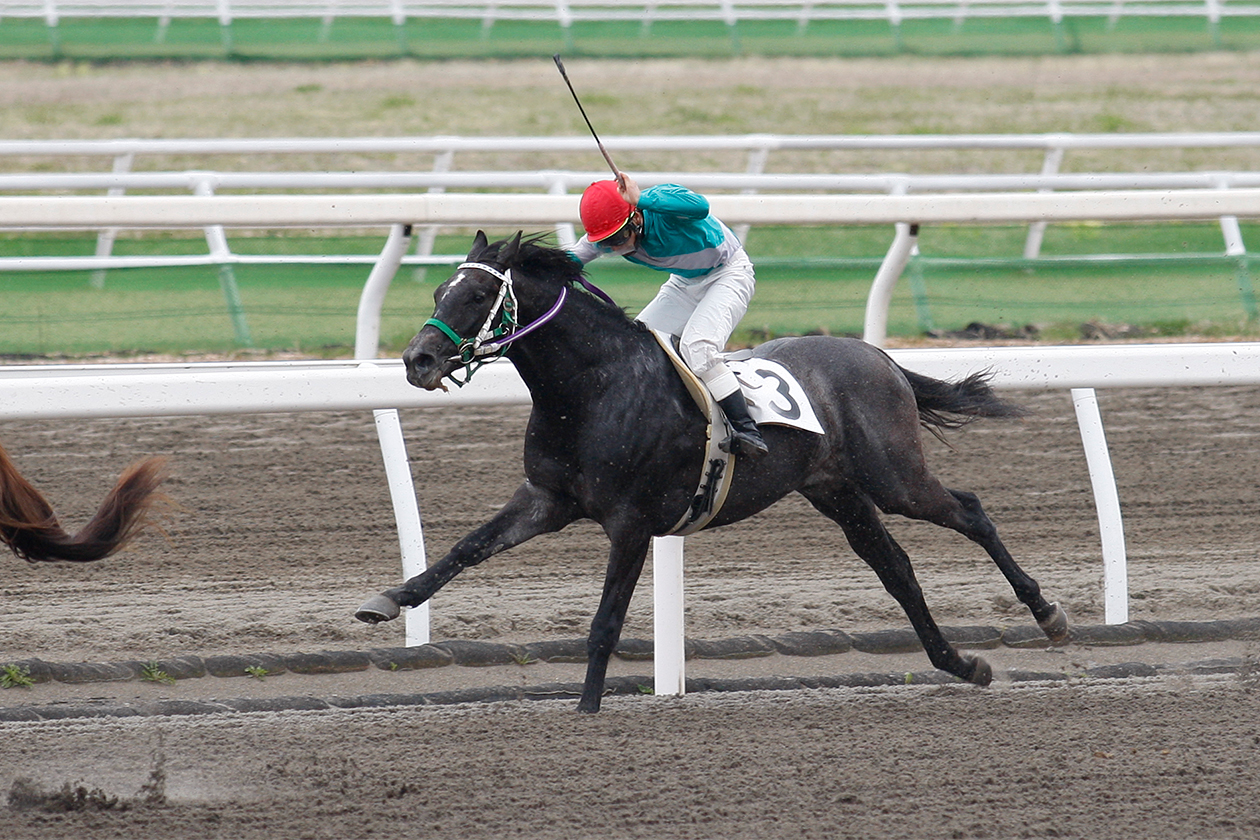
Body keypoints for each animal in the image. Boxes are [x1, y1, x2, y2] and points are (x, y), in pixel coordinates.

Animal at [356, 231, 1069, 713]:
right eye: (438, 290)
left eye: (477, 293)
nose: (417, 359)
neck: (592, 388)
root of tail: (876, 355)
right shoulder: (547, 498)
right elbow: (467, 547)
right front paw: (388, 600)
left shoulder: (631, 521)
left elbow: (605, 622)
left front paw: (586, 710)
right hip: (837, 491)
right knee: (896, 568)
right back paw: (961, 664)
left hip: (893, 478)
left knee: (969, 510)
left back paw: (1047, 614)